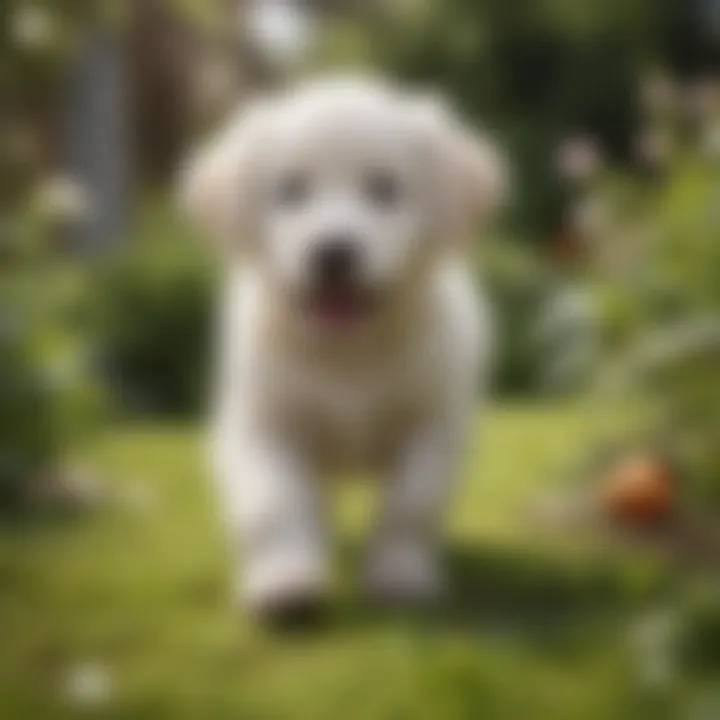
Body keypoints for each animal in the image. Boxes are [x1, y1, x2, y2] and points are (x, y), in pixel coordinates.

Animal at [180, 77, 506, 620]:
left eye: (384, 188)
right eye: (291, 190)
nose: (333, 252)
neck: (347, 352)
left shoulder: (434, 423)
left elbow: (411, 503)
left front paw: (400, 573)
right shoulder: (262, 424)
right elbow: (274, 503)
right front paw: (285, 581)